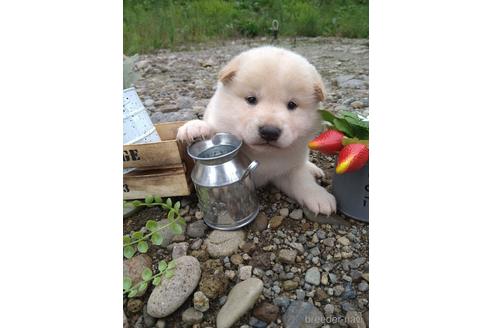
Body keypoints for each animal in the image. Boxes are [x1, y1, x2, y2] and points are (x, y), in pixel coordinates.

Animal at [179, 45, 336, 215]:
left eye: (292, 105)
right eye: (251, 99)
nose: (269, 131)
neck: (262, 155)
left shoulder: (286, 169)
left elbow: (301, 180)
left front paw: (319, 197)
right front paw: (195, 128)